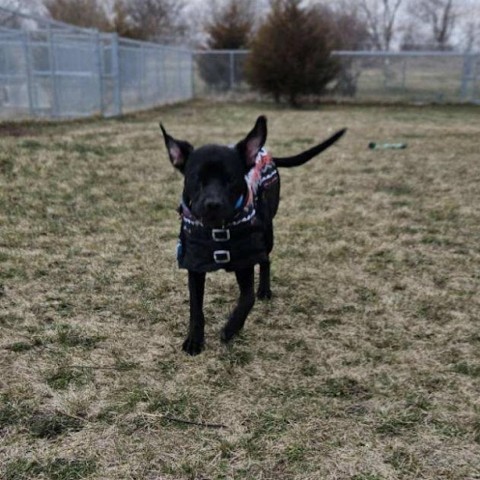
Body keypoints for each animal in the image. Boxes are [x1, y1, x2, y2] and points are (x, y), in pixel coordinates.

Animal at [161, 116, 344, 354]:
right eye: (195, 178)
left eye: (231, 178)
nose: (213, 204)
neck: (218, 229)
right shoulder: (195, 263)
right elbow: (196, 309)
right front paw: (194, 340)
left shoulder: (245, 260)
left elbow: (247, 299)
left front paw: (231, 328)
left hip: (266, 231)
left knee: (266, 260)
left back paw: (264, 290)